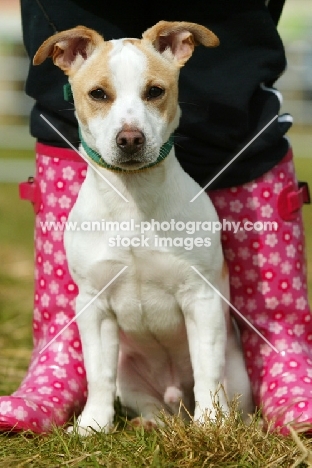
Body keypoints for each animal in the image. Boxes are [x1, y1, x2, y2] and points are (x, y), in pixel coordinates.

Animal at [34, 19, 254, 436]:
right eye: (98, 94)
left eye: (155, 91)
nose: (131, 138)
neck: (132, 201)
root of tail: (174, 401)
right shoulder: (93, 305)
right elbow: (97, 375)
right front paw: (91, 426)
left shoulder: (201, 299)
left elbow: (207, 370)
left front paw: (209, 425)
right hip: (131, 376)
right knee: (147, 404)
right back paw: (150, 424)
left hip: (238, 377)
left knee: (223, 391)